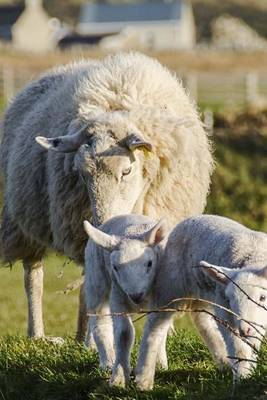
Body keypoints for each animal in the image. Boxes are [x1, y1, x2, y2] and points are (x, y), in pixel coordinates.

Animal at [0, 51, 214, 340]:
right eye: (80, 174)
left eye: (127, 170)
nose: (103, 222)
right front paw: (96, 338)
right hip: (22, 222)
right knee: (33, 276)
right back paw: (40, 334)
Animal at [84, 216, 169, 388]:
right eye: (115, 267)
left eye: (150, 263)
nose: (136, 296)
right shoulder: (118, 296)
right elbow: (124, 334)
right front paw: (118, 378)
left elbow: (157, 329)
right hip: (96, 280)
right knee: (99, 320)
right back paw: (108, 361)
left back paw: (160, 362)